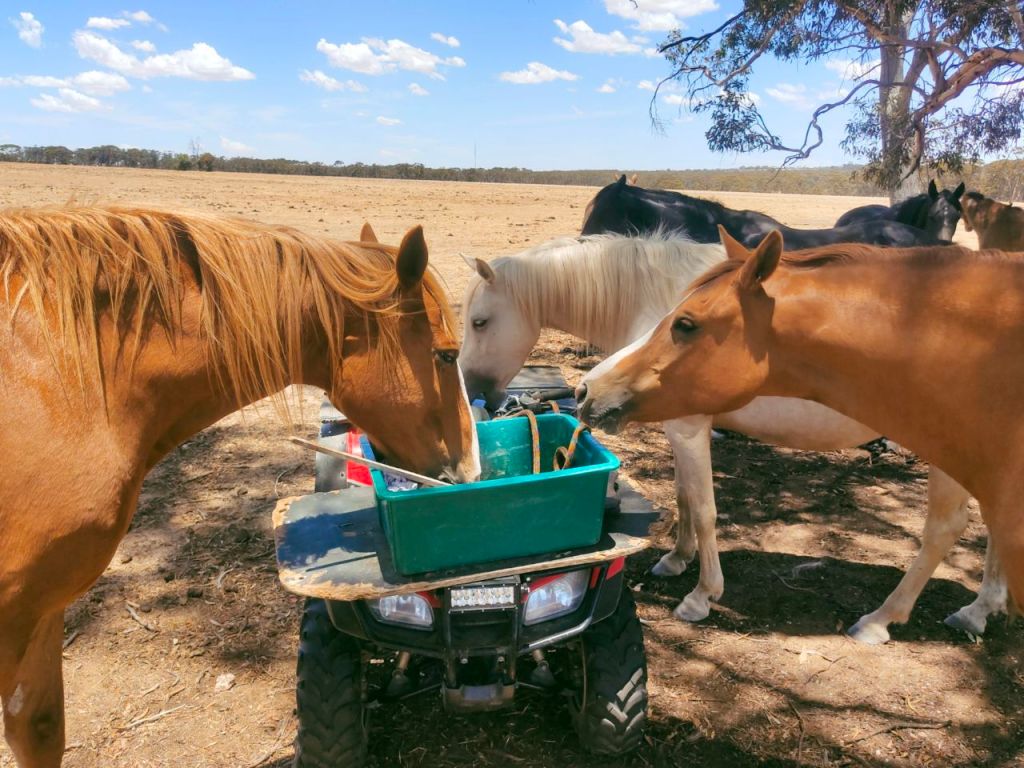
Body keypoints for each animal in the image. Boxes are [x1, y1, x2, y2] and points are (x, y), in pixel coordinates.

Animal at [458, 232, 1005, 644]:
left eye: (479, 321)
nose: (468, 388)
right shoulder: (679, 428)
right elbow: (683, 497)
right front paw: (676, 561)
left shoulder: (689, 427)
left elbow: (703, 509)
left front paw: (701, 596)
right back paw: (979, 610)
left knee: (944, 529)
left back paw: (880, 620)